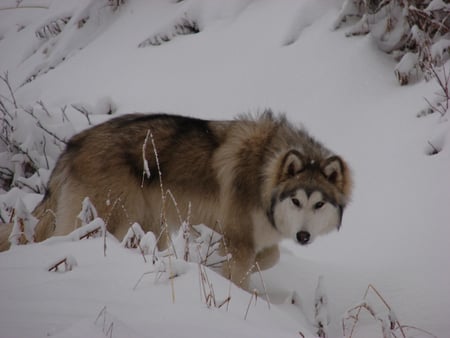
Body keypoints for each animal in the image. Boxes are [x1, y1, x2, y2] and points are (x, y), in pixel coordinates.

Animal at [0, 111, 354, 288]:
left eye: (318, 204)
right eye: (296, 201)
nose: (303, 236)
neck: (263, 174)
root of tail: (73, 143)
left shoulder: (252, 239)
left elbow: (271, 257)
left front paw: (213, 266)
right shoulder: (239, 238)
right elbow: (243, 272)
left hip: (151, 225)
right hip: (109, 221)